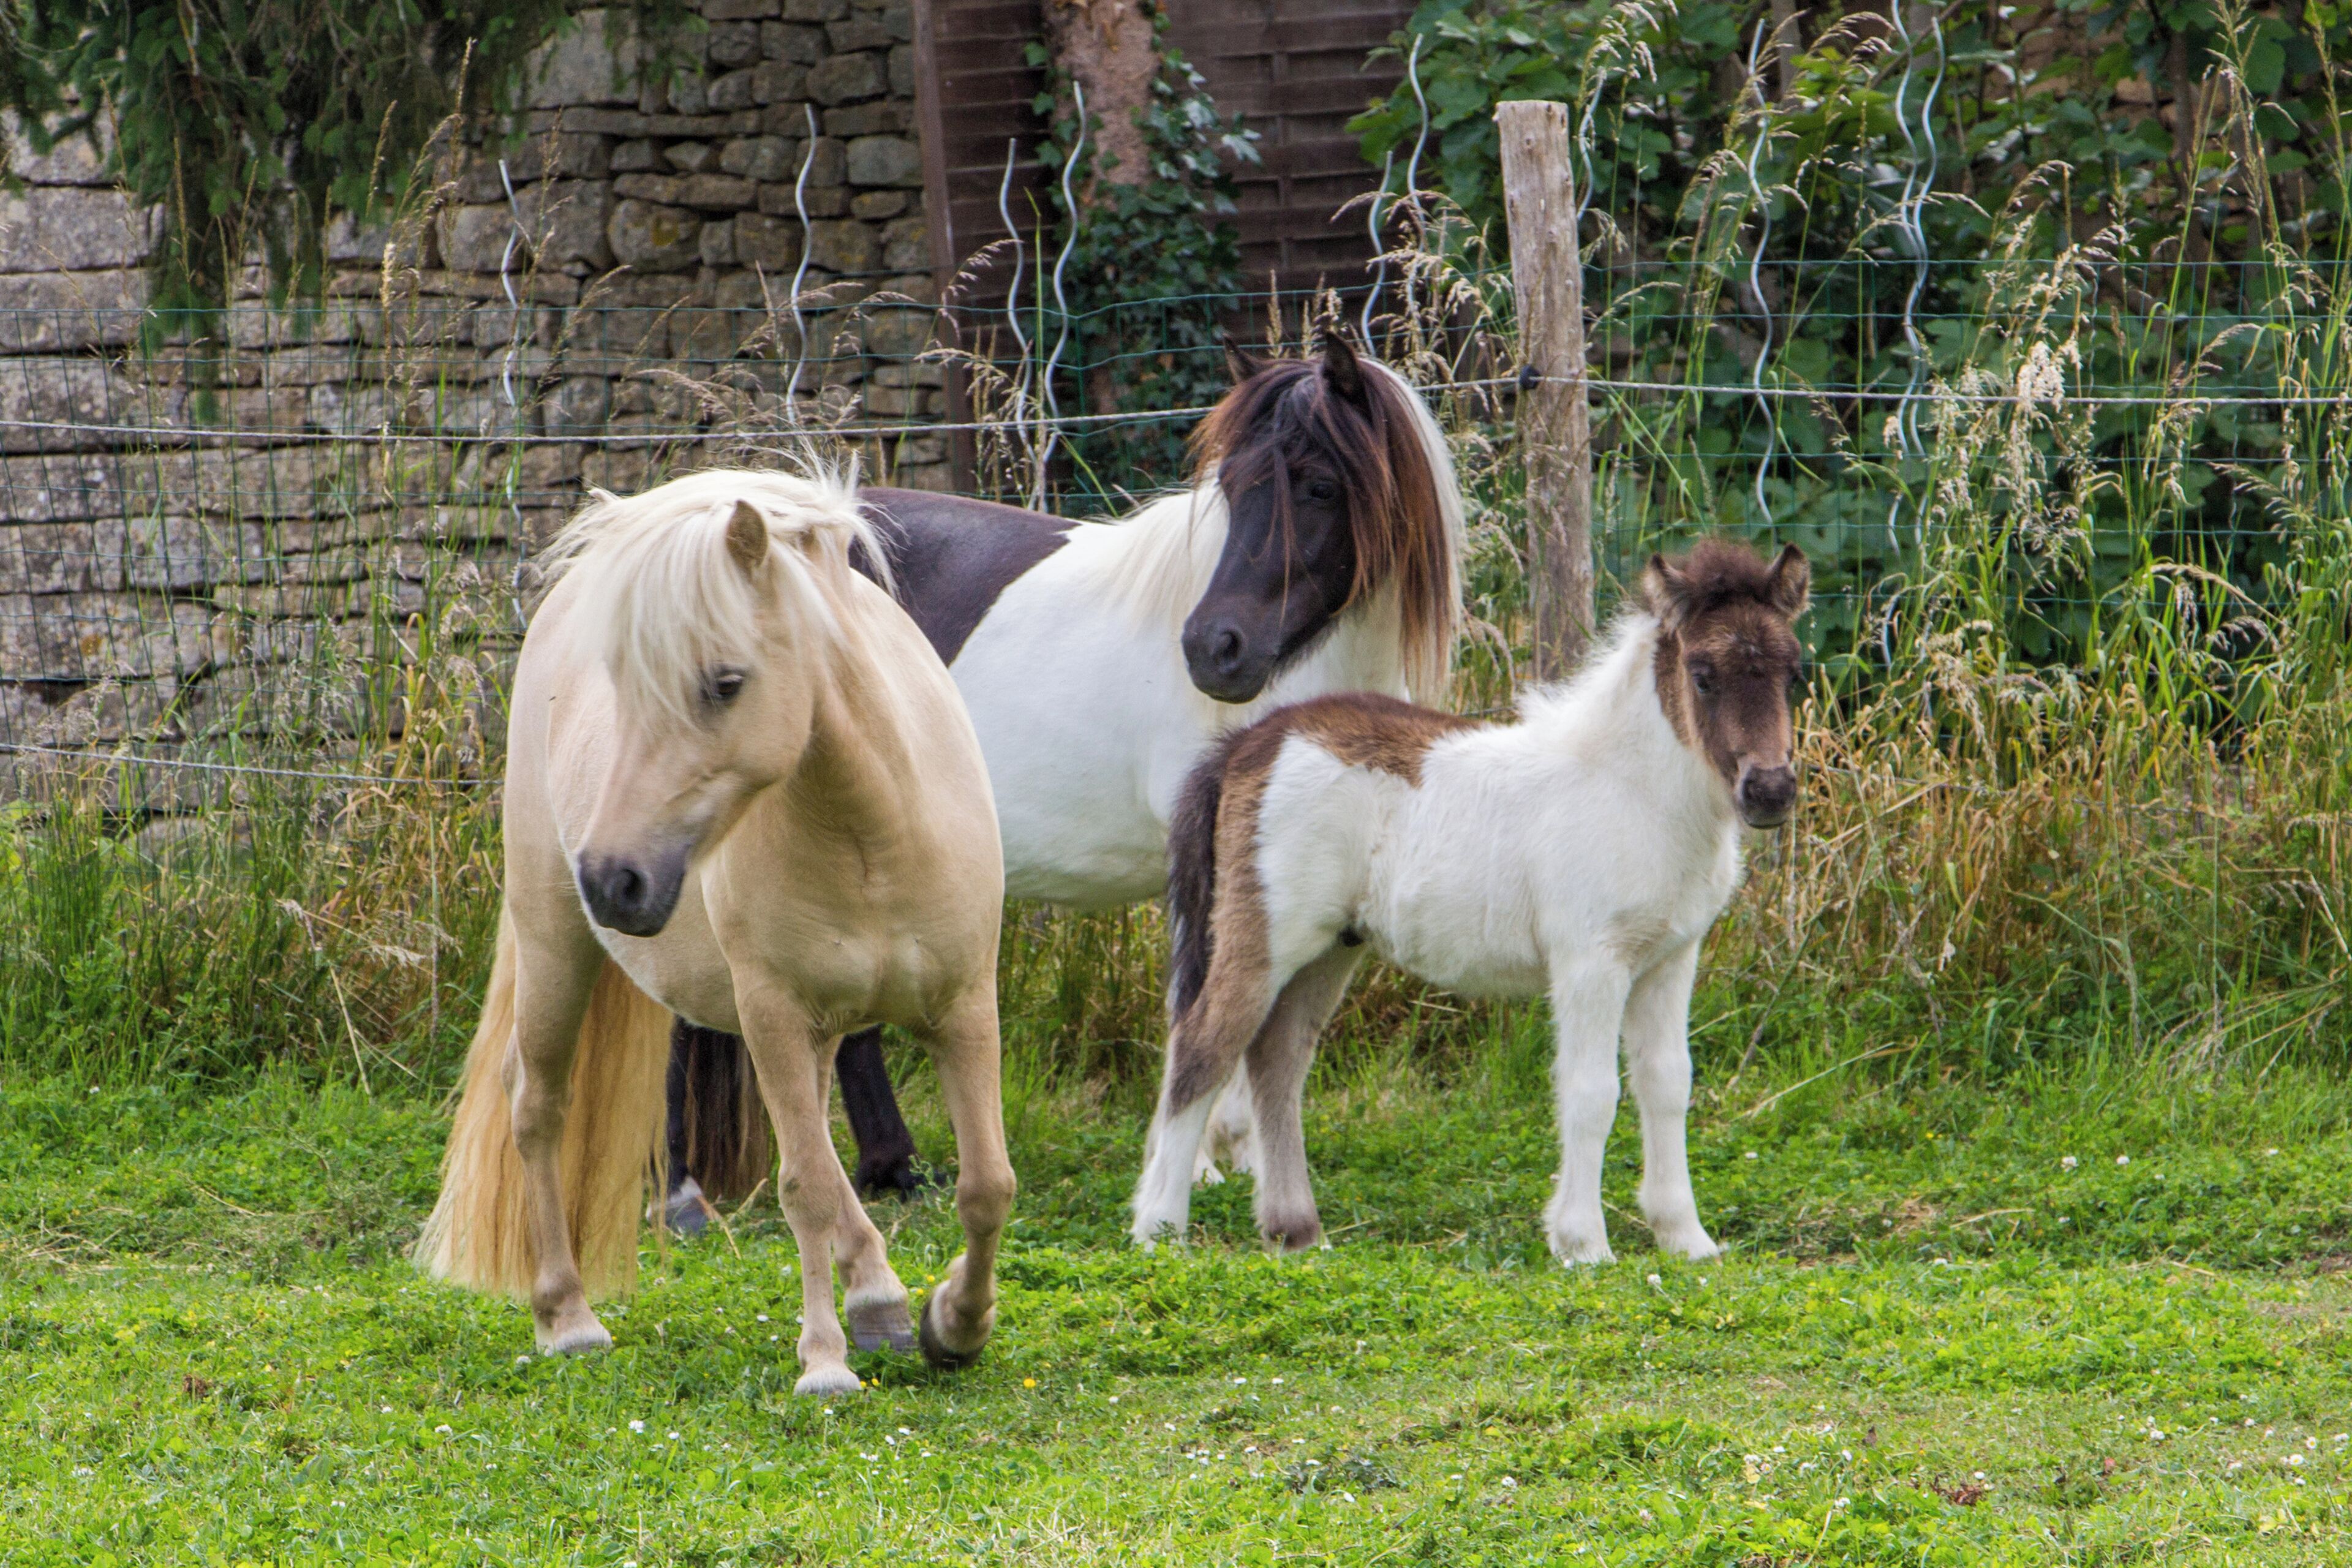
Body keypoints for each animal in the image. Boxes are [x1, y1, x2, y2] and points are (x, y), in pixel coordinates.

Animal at [413, 466, 1013, 1397]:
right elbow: (804, 1186)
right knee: (537, 1103)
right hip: (558, 947)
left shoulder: (963, 1009)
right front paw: (824, 1364)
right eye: (623, 683)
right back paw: (567, 1318)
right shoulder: (775, 1014)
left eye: (725, 683)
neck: (873, 835)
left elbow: (985, 1185)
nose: (613, 879)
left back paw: (878, 1297)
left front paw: (954, 1323)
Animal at [662, 333, 1467, 1216]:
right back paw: (717, 1190)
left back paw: (878, 1170)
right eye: (1231, 488)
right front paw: (1200, 1162)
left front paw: (1242, 1151)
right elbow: (1206, 996)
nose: (1213, 651)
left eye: (1320, 486)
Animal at [1129, 541, 1809, 1262]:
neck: (1636, 792)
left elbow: (1668, 1083)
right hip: (1265, 933)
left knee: (1277, 1060)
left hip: (1330, 948)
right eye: (1703, 675)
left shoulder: (1670, 959)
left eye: (1793, 672)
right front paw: (1584, 1244)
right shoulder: (1590, 963)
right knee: (1203, 1045)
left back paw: (1296, 1229)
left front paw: (1686, 1237)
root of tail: (1248, 743)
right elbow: (1592, 1091)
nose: (1769, 790)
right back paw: (1160, 1228)